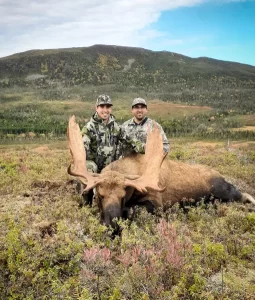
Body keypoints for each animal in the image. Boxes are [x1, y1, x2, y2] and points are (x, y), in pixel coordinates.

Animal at [67, 116, 255, 229]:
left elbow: (136, 210)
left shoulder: (157, 204)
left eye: (122, 196)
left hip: (223, 189)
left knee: (244, 195)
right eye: (99, 196)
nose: (112, 225)